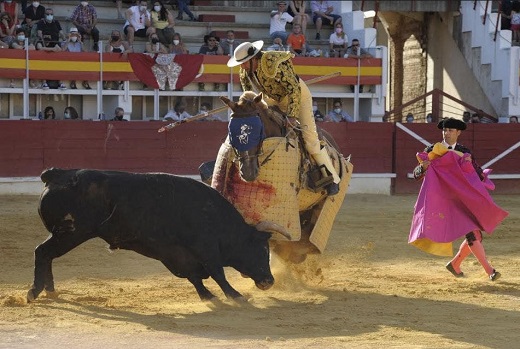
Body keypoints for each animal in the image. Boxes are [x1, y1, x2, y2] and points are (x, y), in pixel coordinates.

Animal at [28, 167, 290, 300]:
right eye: (262, 250)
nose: (269, 281)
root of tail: (56, 175)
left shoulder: (174, 254)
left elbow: (194, 276)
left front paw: (208, 296)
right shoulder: (205, 248)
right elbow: (218, 273)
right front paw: (235, 296)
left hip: (64, 233)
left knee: (46, 255)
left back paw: (49, 290)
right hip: (71, 233)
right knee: (42, 252)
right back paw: (34, 291)